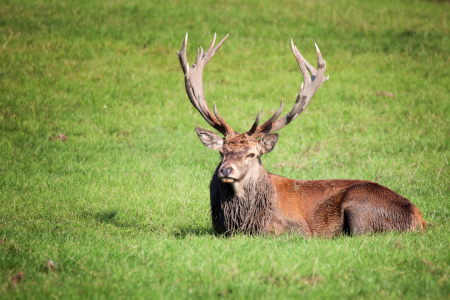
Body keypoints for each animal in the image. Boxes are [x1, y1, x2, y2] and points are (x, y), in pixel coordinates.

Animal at [177, 34, 426, 237]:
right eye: (221, 152)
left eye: (251, 154)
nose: (226, 170)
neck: (242, 223)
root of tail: (420, 219)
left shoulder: (297, 229)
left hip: (359, 206)